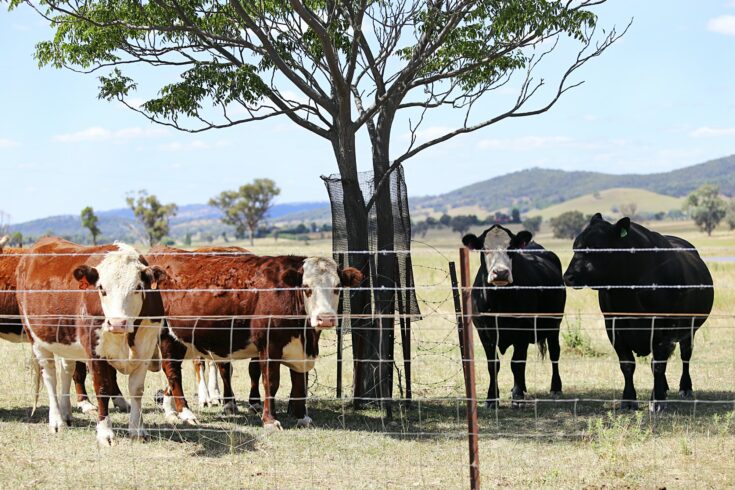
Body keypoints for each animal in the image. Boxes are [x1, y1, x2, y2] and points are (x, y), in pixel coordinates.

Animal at [16, 237, 167, 444]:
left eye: (138, 288)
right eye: (101, 289)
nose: (117, 323)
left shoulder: (145, 348)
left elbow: (137, 389)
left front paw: (137, 430)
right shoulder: (95, 352)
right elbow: (102, 388)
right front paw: (105, 433)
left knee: (67, 370)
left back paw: (66, 412)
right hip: (37, 339)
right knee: (50, 377)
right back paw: (57, 421)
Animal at [150, 249, 366, 428]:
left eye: (338, 287)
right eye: (306, 287)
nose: (325, 318)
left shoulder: (299, 350)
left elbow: (299, 383)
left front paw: (301, 417)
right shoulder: (269, 346)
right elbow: (271, 382)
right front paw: (270, 420)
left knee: (170, 375)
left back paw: (171, 411)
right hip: (167, 337)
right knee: (173, 372)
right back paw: (186, 413)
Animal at [462, 225, 568, 406]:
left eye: (511, 248)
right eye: (484, 248)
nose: (500, 273)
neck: (499, 301)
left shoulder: (523, 330)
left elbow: (517, 363)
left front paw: (518, 397)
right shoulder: (484, 332)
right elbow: (493, 365)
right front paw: (492, 397)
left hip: (554, 323)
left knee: (555, 352)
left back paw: (555, 387)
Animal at [564, 214, 712, 410]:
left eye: (596, 248)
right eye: (575, 247)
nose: (568, 276)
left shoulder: (665, 327)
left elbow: (658, 364)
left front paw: (657, 401)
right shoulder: (613, 326)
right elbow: (627, 364)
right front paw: (628, 400)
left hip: (690, 329)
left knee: (685, 356)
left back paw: (685, 388)